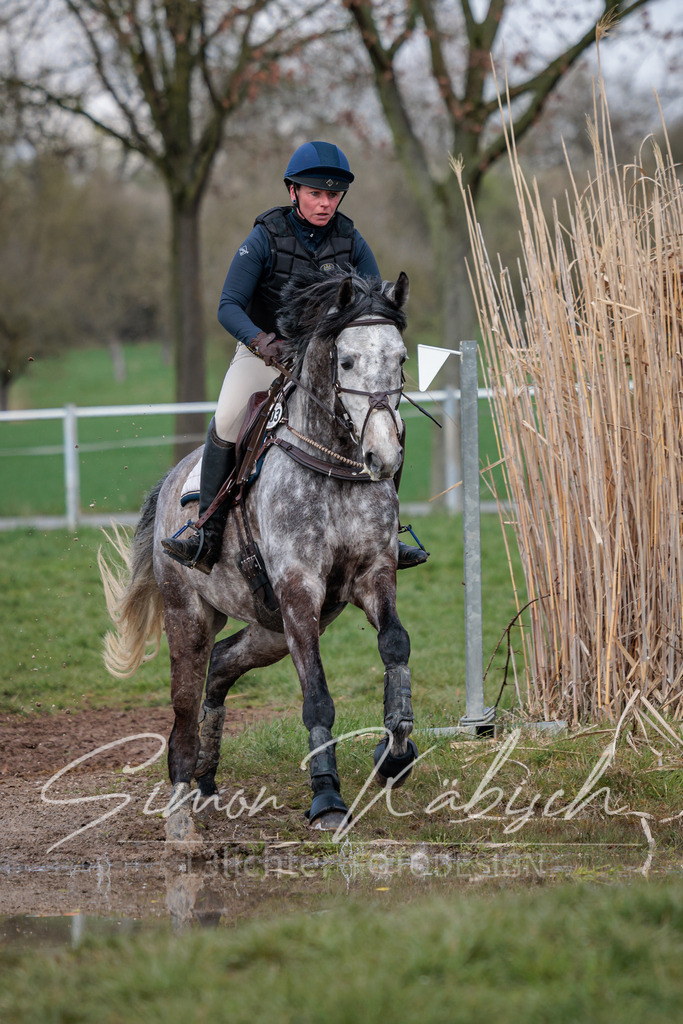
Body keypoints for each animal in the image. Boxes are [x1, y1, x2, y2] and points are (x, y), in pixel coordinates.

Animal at [98, 265, 418, 835]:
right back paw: (181, 810)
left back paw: (207, 774)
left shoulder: (373, 576)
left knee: (224, 663)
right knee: (183, 706)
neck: (332, 462)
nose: (383, 456)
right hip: (192, 615)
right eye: (346, 360)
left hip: (270, 628)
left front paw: (395, 754)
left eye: (401, 358)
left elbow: (395, 647)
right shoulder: (298, 590)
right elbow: (317, 696)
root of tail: (170, 483)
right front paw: (327, 798)